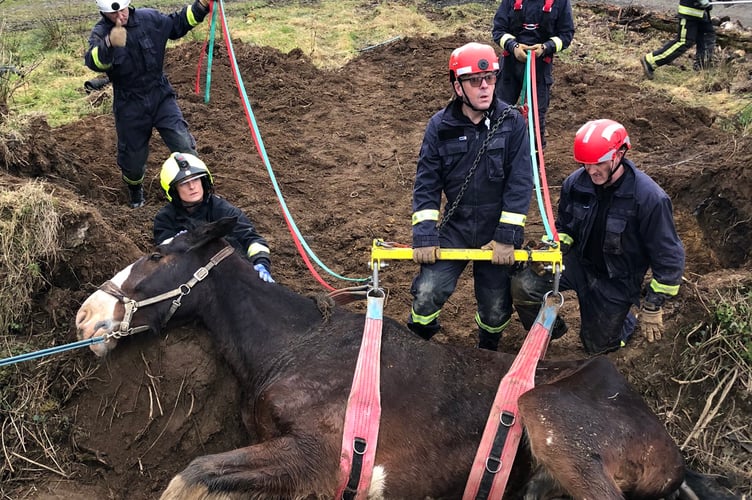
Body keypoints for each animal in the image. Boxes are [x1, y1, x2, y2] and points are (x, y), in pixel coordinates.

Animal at [76, 219, 716, 500]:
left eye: (157, 256)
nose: (86, 316)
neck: (290, 348)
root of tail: (678, 463)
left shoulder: (320, 456)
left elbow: (189, 475)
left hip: (547, 414)